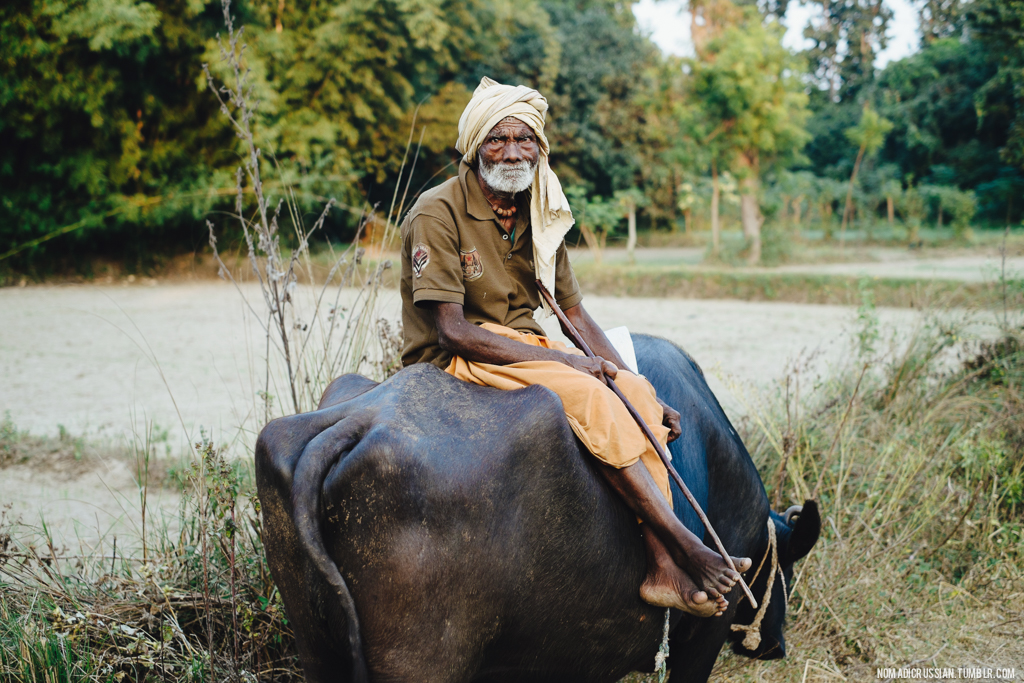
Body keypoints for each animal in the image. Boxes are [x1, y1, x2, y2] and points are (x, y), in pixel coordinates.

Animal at [258, 333, 823, 679]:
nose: (776, 644)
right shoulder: (700, 640)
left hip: (316, 645)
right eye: (789, 573)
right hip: (419, 661)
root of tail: (359, 421)